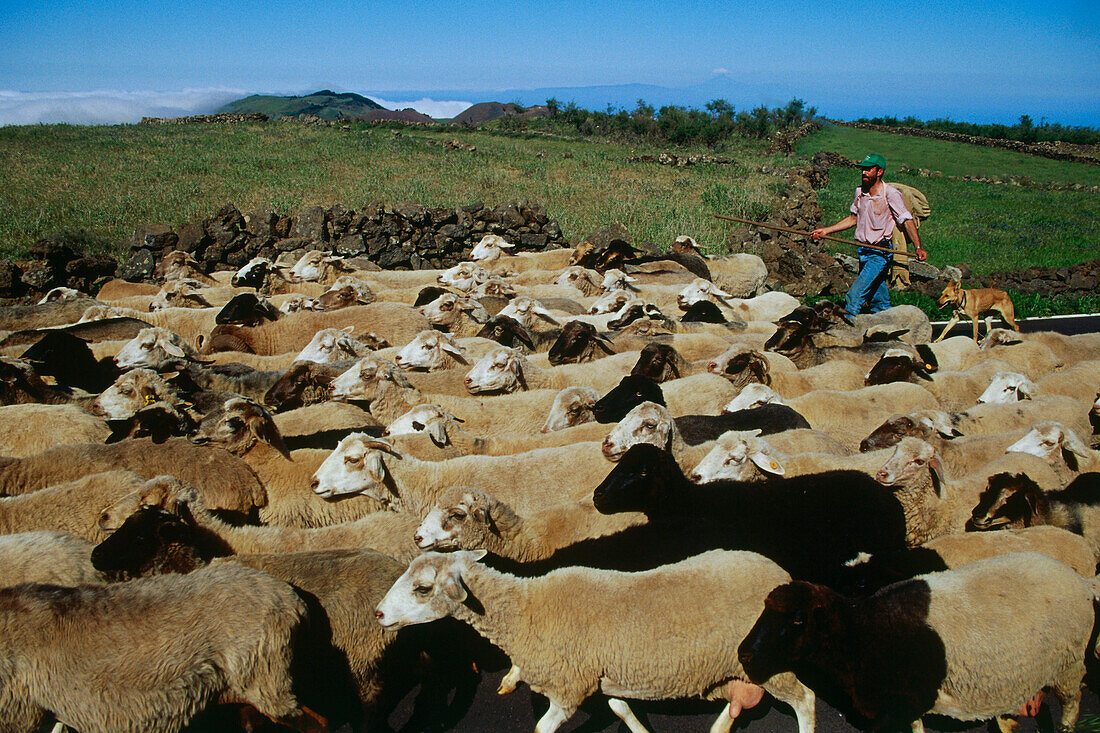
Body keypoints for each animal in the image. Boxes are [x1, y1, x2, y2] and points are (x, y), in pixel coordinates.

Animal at [378, 550, 818, 733]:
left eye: (422, 588)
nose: (379, 614)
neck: (525, 609)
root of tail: (783, 576)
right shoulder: (606, 673)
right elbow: (619, 708)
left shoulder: (568, 687)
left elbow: (542, 728)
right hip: (729, 669)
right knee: (737, 701)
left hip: (770, 663)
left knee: (806, 700)